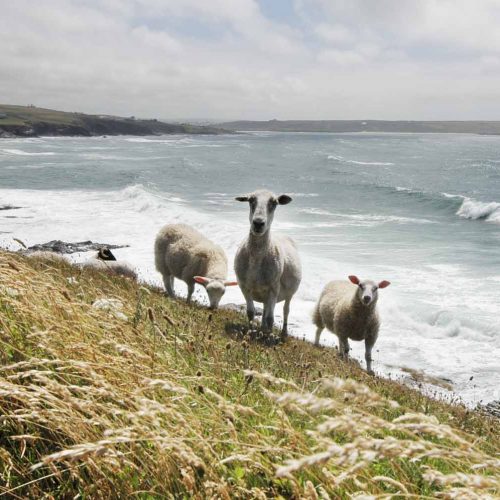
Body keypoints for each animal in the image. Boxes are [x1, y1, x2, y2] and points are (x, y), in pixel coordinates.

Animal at [233, 189, 300, 338]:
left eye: (274, 203)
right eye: (251, 200)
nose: (258, 223)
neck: (256, 258)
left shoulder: (274, 288)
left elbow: (271, 318)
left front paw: (268, 337)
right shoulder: (244, 286)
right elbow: (251, 312)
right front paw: (250, 331)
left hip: (289, 294)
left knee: (286, 311)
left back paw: (283, 333)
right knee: (264, 310)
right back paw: (262, 328)